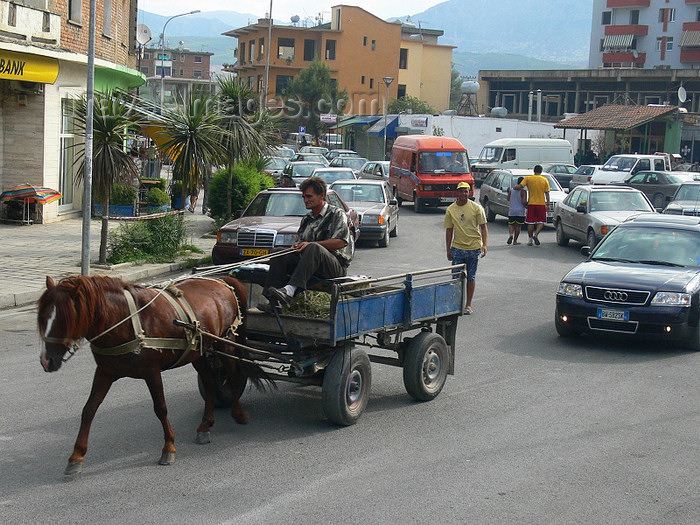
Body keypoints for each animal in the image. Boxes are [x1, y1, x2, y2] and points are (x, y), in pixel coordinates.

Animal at [37, 274, 268, 474]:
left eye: (64, 320)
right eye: (44, 317)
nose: (46, 361)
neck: (125, 320)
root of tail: (220, 280)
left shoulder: (151, 372)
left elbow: (161, 408)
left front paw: (168, 448)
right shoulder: (105, 372)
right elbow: (88, 410)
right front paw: (76, 456)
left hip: (226, 341)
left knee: (233, 372)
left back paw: (238, 413)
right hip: (199, 350)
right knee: (210, 380)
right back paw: (205, 425)